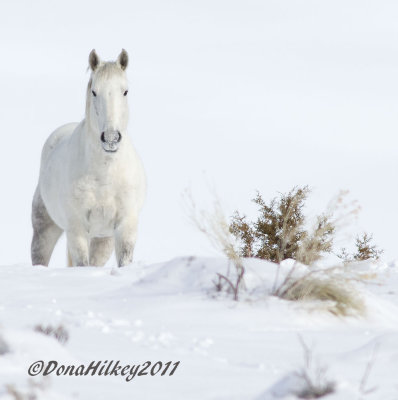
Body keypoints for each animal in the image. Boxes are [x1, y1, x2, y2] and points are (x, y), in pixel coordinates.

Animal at [31, 50, 146, 268]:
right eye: (94, 91)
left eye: (125, 91)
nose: (111, 138)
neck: (105, 175)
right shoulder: (77, 229)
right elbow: (81, 264)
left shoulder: (125, 227)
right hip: (45, 230)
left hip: (103, 240)